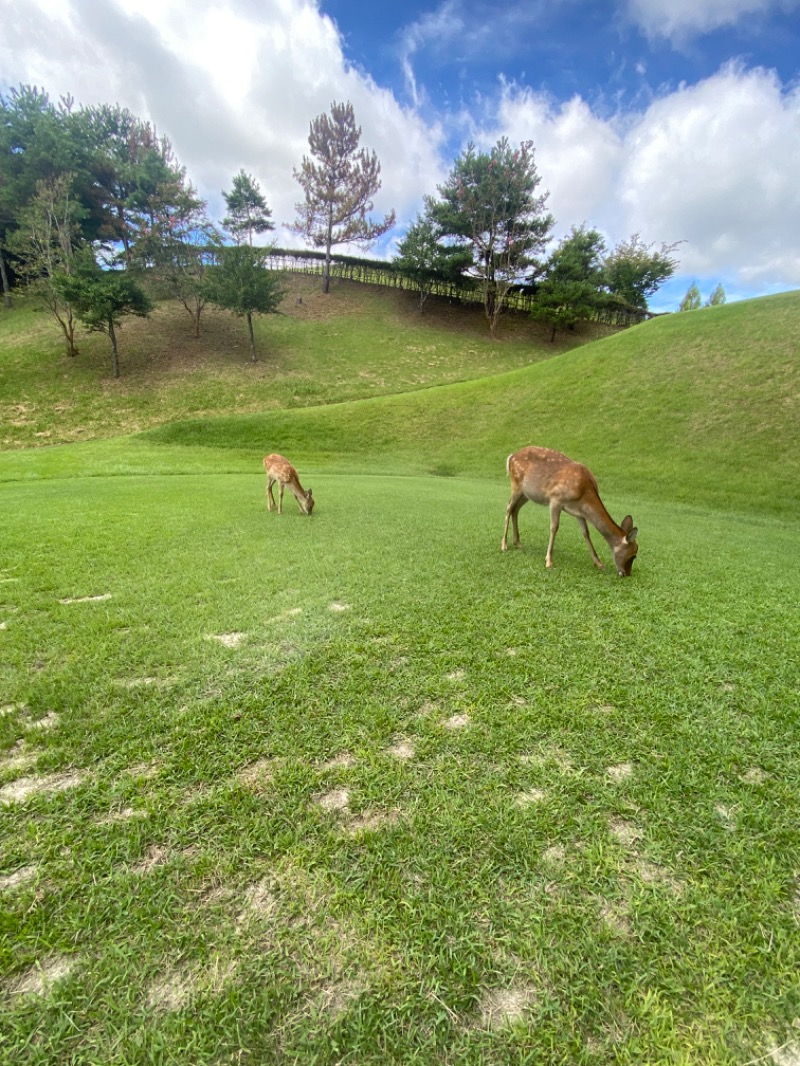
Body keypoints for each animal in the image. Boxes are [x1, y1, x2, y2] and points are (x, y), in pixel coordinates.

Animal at [501, 447, 640, 579]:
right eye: (633, 555)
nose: (627, 574)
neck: (584, 492)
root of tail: (511, 456)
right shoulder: (555, 499)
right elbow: (554, 528)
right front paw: (549, 561)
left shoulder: (579, 512)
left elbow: (586, 533)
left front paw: (599, 564)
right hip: (516, 485)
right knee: (508, 507)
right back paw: (504, 545)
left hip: (526, 494)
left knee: (515, 510)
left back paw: (518, 543)